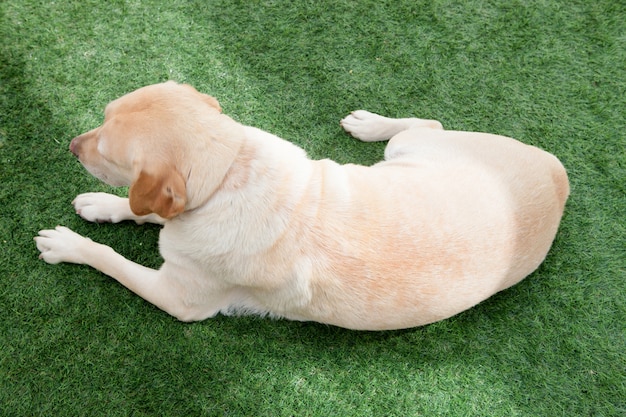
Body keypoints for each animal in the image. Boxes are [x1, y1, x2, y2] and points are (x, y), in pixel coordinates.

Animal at [36, 80, 568, 328]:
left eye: (106, 152)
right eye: (102, 117)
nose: (71, 146)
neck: (229, 172)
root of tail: (558, 174)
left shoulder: (179, 299)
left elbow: (113, 257)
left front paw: (70, 245)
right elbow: (143, 208)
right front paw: (105, 205)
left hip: (418, 149)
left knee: (431, 122)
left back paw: (373, 123)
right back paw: (371, 124)